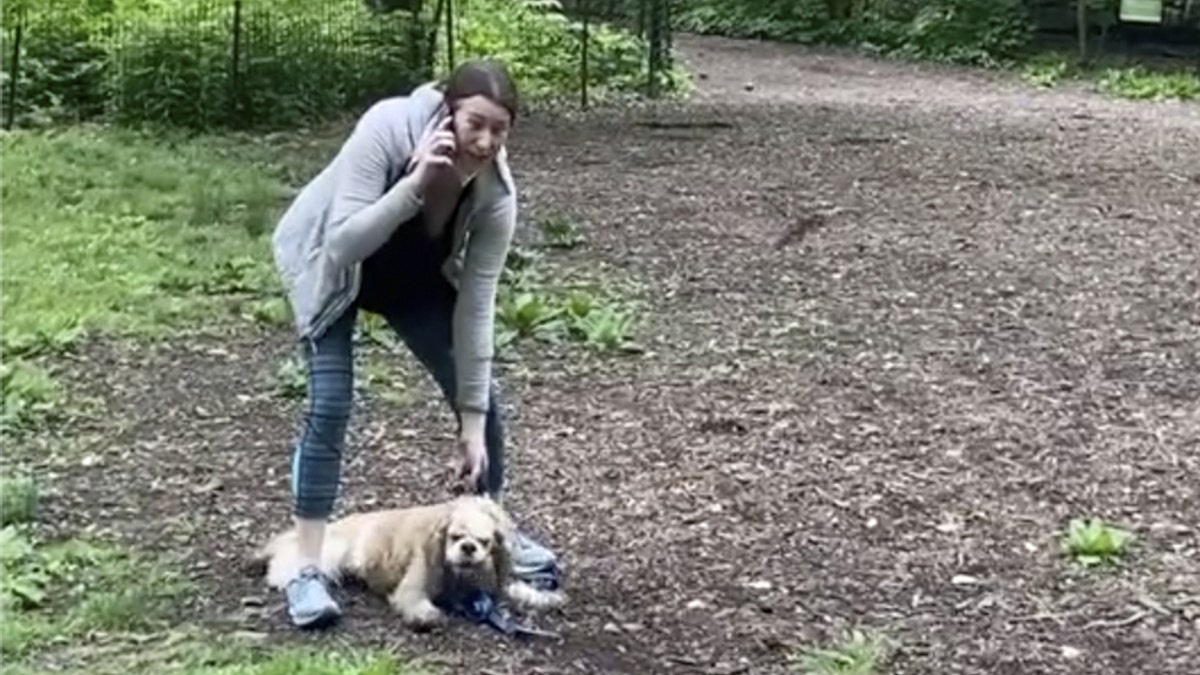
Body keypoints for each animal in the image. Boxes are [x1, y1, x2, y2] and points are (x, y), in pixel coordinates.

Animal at [249, 492, 566, 629]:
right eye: (455, 537)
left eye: (484, 542)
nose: (467, 547)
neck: (460, 576)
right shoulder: (413, 587)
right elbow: (415, 602)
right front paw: (428, 616)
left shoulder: (489, 586)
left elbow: (517, 589)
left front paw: (544, 598)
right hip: (330, 553)